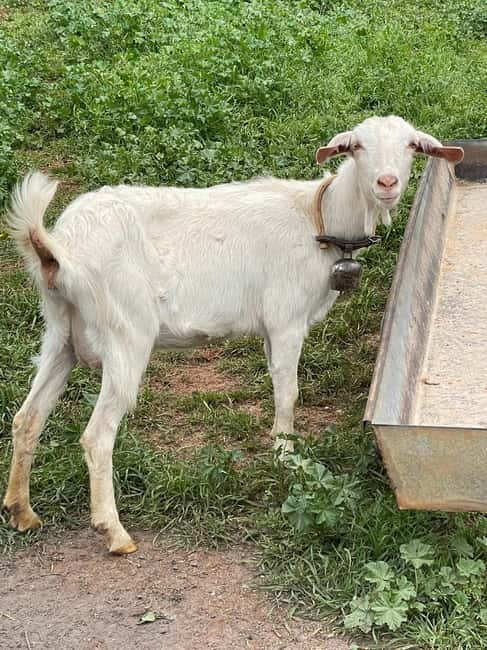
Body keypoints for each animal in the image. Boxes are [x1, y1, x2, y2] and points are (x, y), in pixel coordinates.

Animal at [3, 116, 463, 554]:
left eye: (411, 145)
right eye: (358, 146)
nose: (387, 182)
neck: (318, 218)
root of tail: (60, 250)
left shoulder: (269, 328)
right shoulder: (286, 319)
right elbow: (288, 391)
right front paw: (287, 456)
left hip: (61, 333)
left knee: (28, 417)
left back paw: (22, 512)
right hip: (125, 333)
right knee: (97, 436)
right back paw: (114, 532)